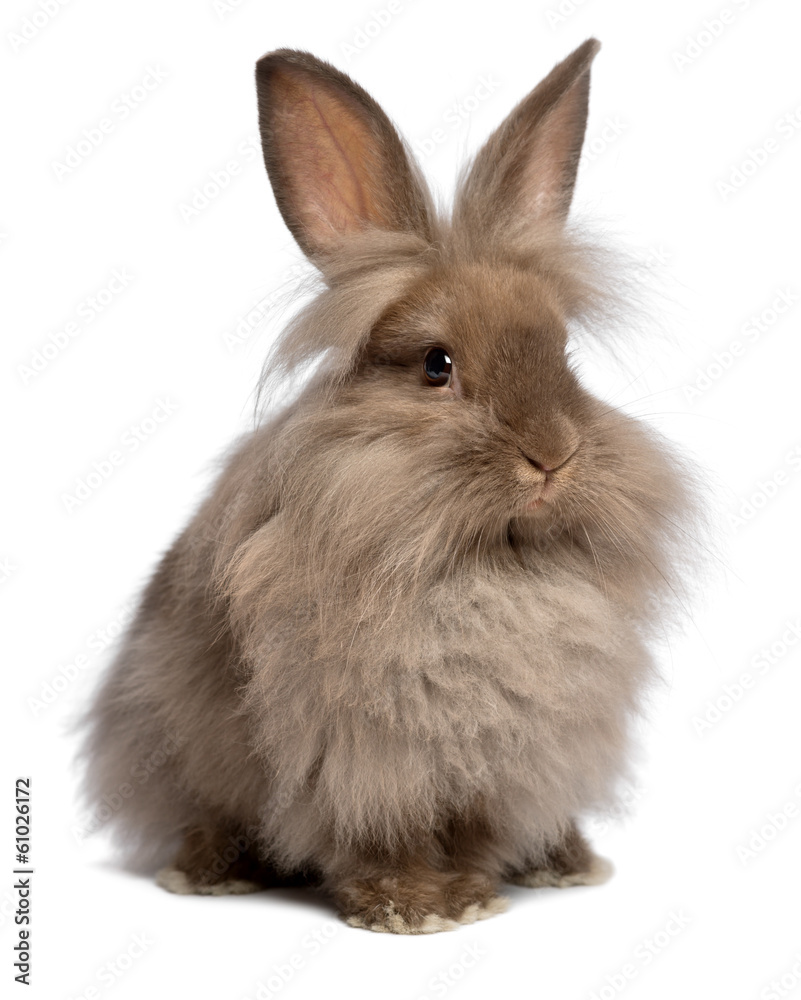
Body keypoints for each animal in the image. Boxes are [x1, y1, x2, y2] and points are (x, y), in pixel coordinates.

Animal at [79, 38, 702, 934]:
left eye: (563, 354)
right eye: (437, 365)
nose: (552, 455)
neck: (486, 561)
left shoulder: (506, 758)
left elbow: (475, 830)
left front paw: (471, 895)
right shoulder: (358, 756)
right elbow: (383, 836)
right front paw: (411, 909)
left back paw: (567, 863)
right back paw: (208, 875)